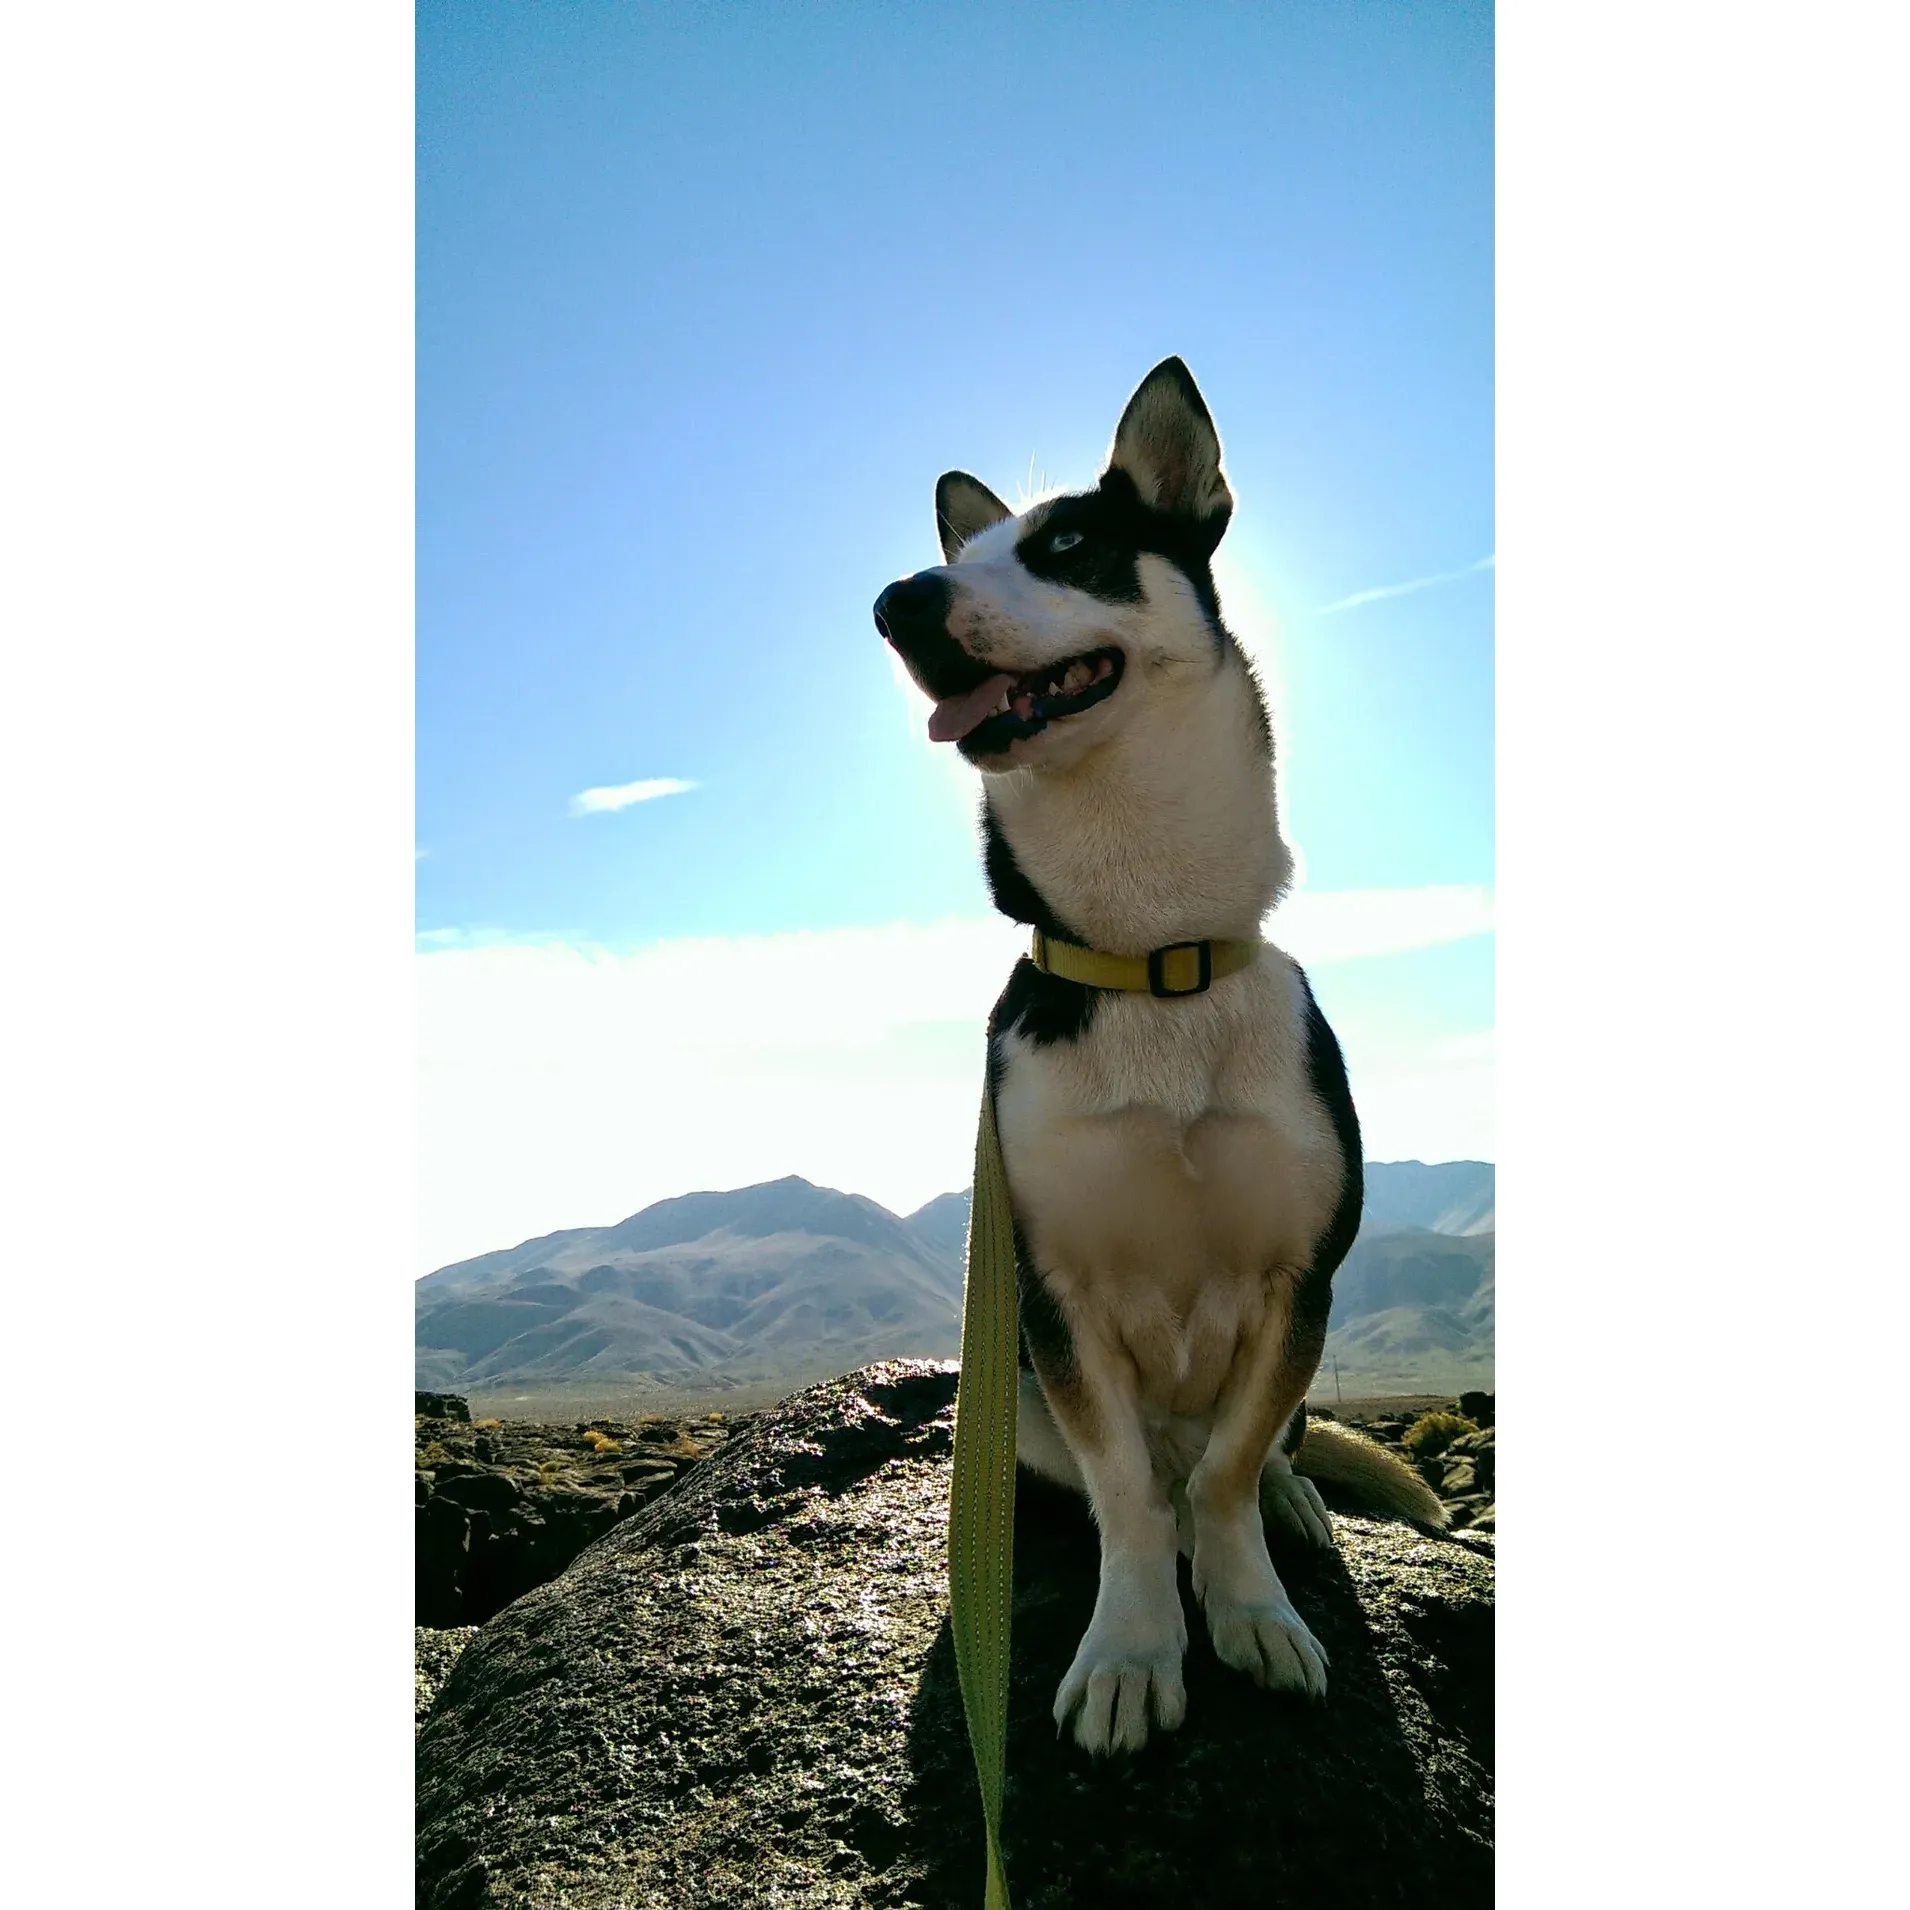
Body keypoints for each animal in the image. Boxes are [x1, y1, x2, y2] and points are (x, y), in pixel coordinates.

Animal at [874, 359, 1436, 1757]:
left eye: (1068, 546)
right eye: (959, 555)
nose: (898, 604)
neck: (1151, 959)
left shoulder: (1298, 1276)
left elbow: (1231, 1466)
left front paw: (1252, 1608)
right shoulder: (1053, 1292)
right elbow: (1129, 1491)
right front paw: (1132, 1649)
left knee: (1259, 1452)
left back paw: (1292, 1506)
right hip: (1008, 1385)